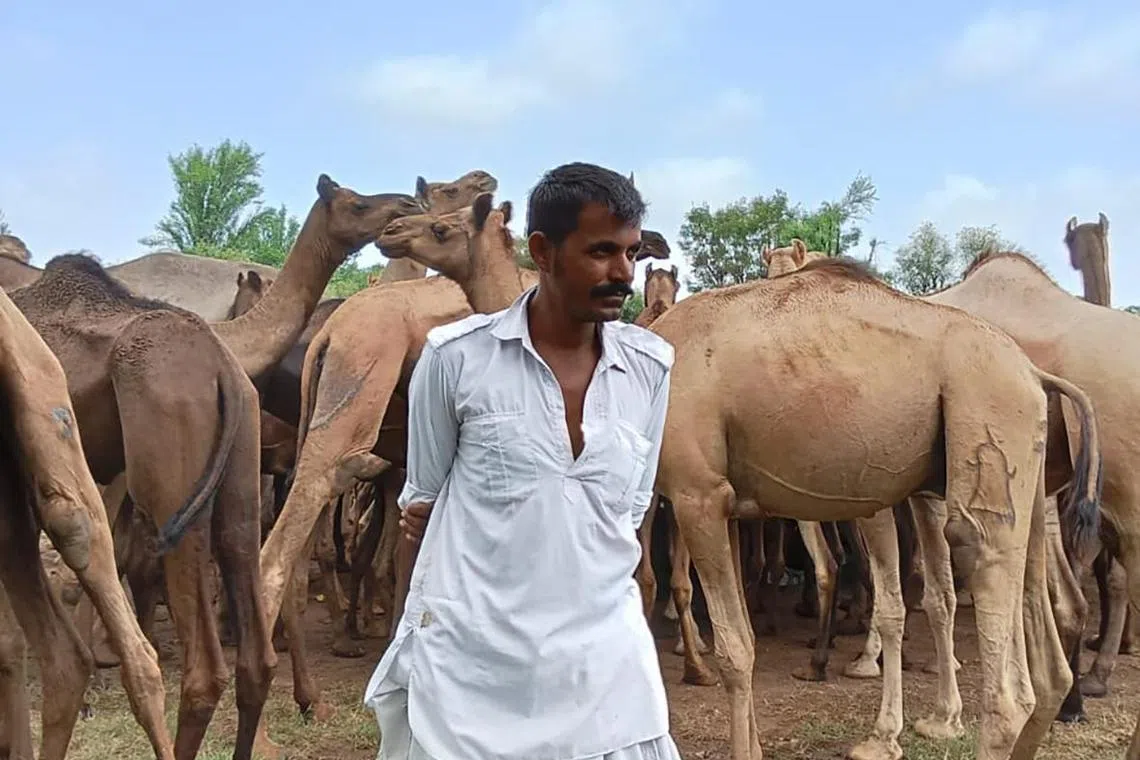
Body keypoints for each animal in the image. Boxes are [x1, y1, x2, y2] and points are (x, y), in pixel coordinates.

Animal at [649, 256, 1102, 760]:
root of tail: (1034, 373)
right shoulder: (728, 507)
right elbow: (744, 637)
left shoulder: (697, 495)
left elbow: (734, 652)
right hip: (1029, 480)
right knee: (1046, 661)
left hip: (988, 421)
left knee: (1005, 681)